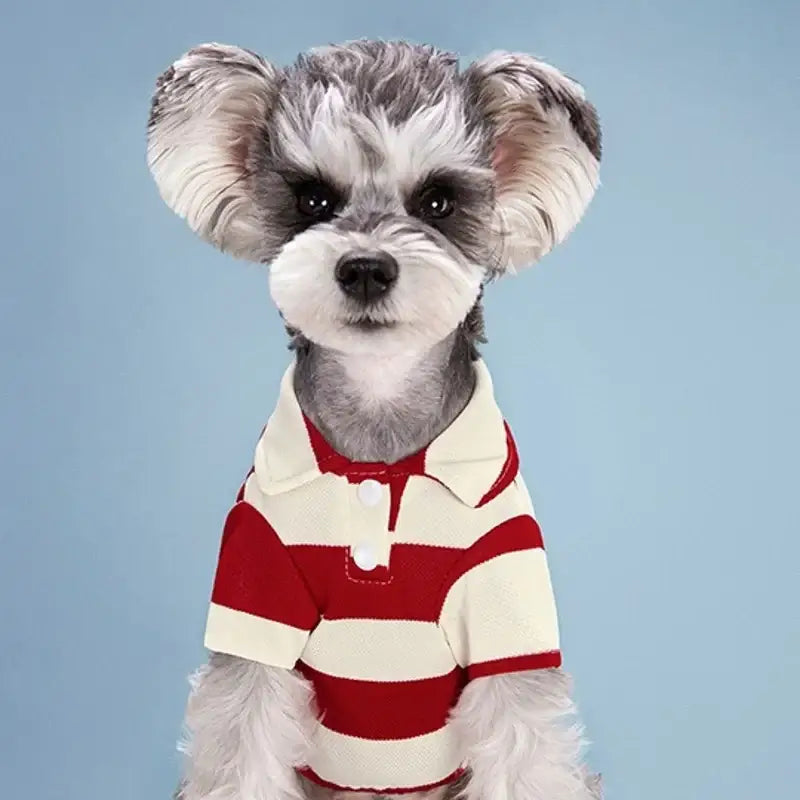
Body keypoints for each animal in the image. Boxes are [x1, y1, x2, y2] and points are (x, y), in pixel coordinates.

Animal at [147, 39, 604, 800]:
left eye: (438, 201)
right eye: (313, 199)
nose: (365, 268)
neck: (379, 437)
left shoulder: (508, 628)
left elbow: (527, 751)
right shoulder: (255, 612)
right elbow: (240, 748)